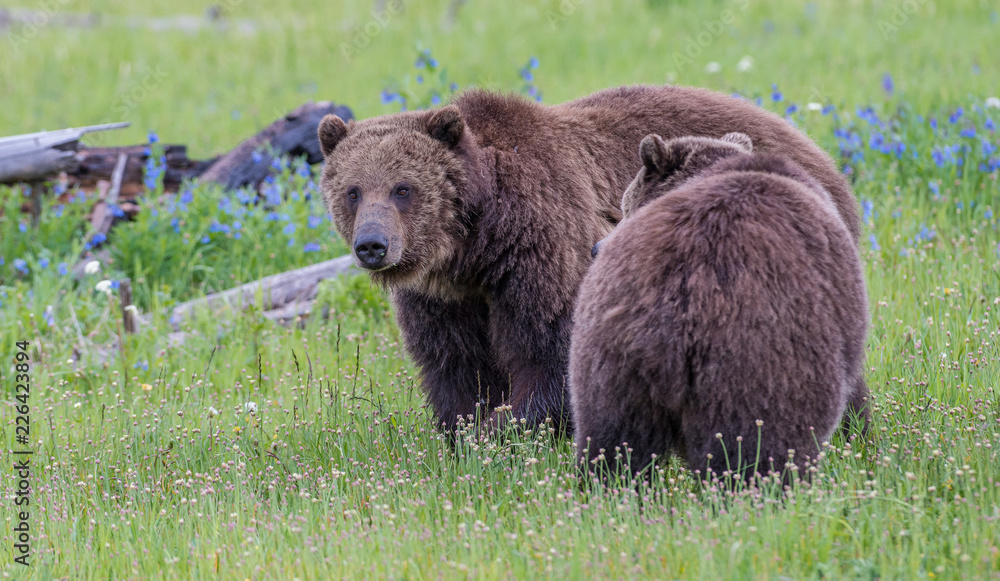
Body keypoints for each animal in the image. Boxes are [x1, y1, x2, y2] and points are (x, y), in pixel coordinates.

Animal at [316, 85, 861, 435]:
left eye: (403, 188)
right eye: (353, 191)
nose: (372, 245)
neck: (475, 247)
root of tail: (803, 135)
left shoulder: (543, 246)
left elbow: (553, 350)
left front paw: (501, 428)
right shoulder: (443, 297)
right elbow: (454, 364)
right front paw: (464, 431)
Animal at [571, 132, 869, 482]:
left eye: (625, 206)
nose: (597, 248)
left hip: (611, 356)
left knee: (613, 443)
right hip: (757, 361)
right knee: (756, 447)